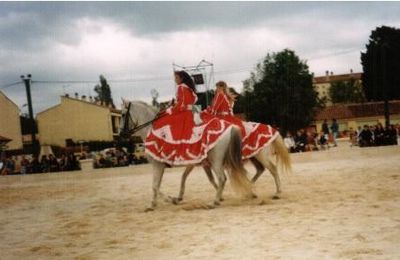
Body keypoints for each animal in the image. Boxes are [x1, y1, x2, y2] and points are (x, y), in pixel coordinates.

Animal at [119, 100, 253, 211]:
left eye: (123, 114)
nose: (121, 134)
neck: (152, 129)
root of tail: (231, 127)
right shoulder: (178, 164)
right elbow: (164, 183)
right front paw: (157, 203)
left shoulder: (157, 165)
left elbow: (155, 186)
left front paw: (167, 200)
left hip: (216, 161)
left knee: (222, 178)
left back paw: (214, 202)